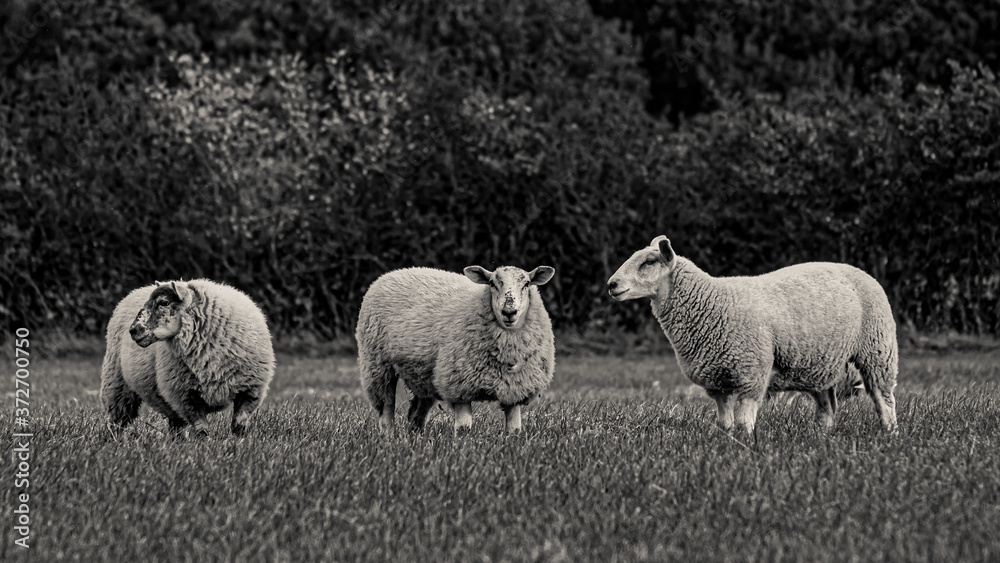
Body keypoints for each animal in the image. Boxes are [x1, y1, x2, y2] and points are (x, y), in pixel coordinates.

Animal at [100, 279, 275, 437]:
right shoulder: (185, 397)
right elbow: (202, 430)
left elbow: (239, 425)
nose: (133, 330)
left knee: (174, 424)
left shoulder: (251, 390)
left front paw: (239, 443)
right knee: (117, 419)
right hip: (117, 384)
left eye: (163, 302)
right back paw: (112, 440)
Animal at [356, 265, 556, 433]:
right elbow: (463, 428)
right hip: (378, 365)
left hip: (423, 374)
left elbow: (514, 429)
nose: (509, 312)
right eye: (492, 283)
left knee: (417, 413)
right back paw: (389, 437)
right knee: (386, 408)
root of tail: (393, 273)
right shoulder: (459, 385)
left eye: (527, 284)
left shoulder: (515, 388)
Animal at [607, 236, 898, 436]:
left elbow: (743, 420)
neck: (712, 301)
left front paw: (745, 445)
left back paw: (890, 434)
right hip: (820, 363)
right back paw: (821, 436)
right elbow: (725, 420)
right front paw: (725, 441)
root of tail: (857, 270)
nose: (611, 284)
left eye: (649, 262)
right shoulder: (718, 381)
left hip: (878, 350)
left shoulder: (752, 373)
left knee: (883, 398)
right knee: (827, 405)